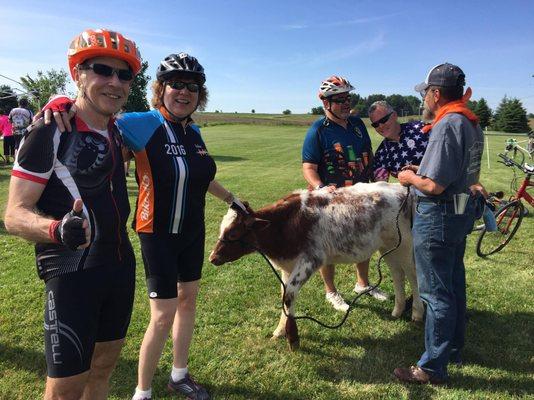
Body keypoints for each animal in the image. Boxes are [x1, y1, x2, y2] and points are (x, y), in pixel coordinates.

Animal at [209, 183, 422, 348]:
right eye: (221, 229)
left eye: (233, 234)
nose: (212, 258)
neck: (285, 225)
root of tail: (401, 188)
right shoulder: (287, 266)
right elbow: (283, 296)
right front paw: (279, 331)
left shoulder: (310, 260)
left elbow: (289, 296)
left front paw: (293, 338)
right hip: (389, 247)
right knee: (397, 274)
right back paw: (397, 310)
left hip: (406, 244)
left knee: (413, 274)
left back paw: (417, 313)